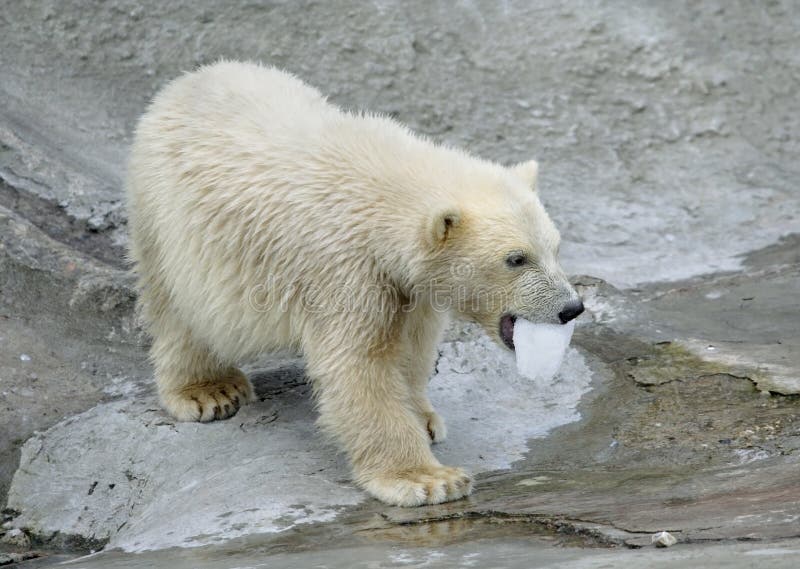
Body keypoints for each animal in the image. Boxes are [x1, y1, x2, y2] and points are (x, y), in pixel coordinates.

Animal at [128, 62, 584, 506]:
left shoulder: (407, 284)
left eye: (555, 247)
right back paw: (209, 390)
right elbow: (360, 365)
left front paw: (423, 417)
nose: (571, 308)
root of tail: (185, 82)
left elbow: (412, 345)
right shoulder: (344, 267)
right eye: (516, 259)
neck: (384, 194)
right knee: (178, 306)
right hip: (166, 218)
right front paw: (428, 480)